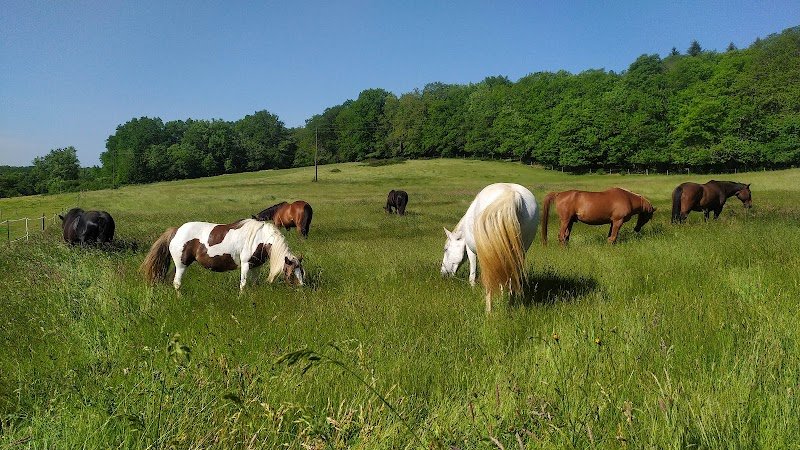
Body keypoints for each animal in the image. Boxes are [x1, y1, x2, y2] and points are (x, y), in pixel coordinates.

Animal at [140, 218, 304, 292]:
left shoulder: (256, 266)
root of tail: (176, 230)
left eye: (302, 272)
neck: (261, 238)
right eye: (290, 274)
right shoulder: (245, 264)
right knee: (177, 283)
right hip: (181, 265)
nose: (302, 288)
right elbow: (243, 284)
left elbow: (254, 284)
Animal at [441, 183, 539, 313]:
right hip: (518, 252)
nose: (443, 273)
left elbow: (472, 275)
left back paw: (489, 310)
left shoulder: (472, 251)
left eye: (446, 249)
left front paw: (473, 289)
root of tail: (514, 194)